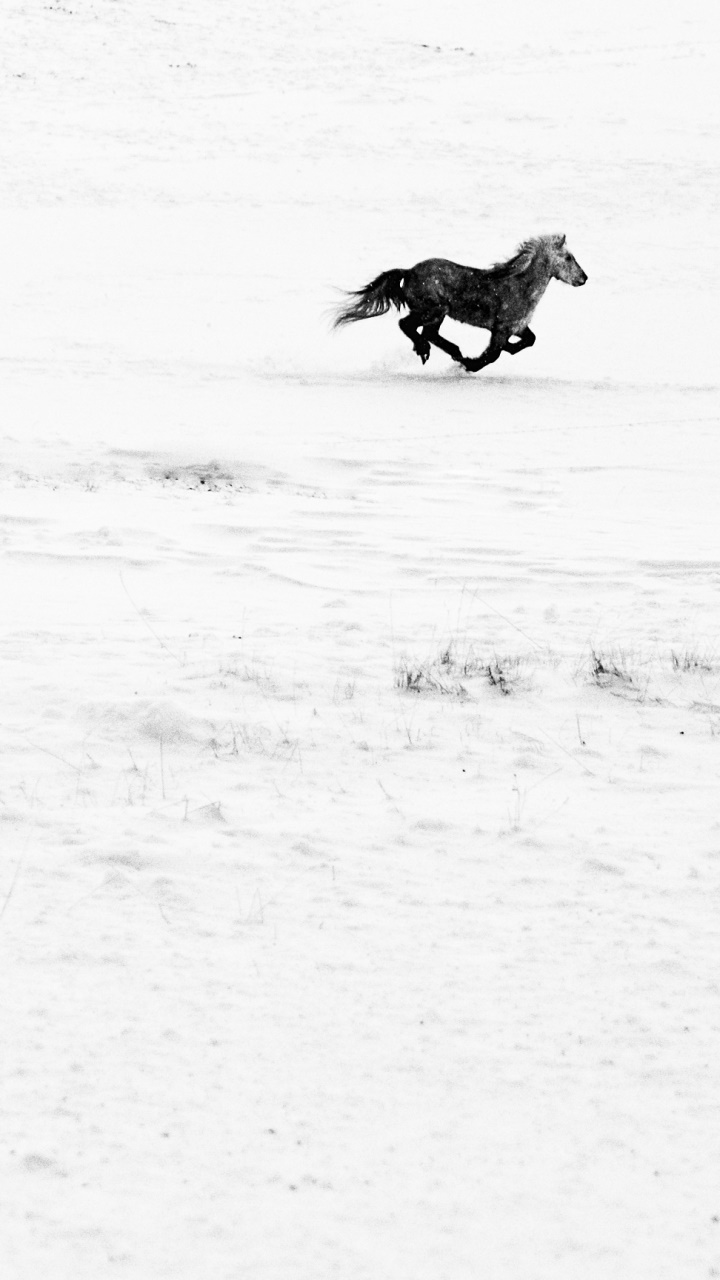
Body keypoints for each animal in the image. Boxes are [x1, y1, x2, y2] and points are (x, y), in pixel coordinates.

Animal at [333, 234, 587, 372]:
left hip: (437, 314)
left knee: (429, 333)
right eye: (568, 257)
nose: (584, 278)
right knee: (408, 325)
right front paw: (469, 364)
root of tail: (409, 271)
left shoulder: (517, 327)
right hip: (433, 310)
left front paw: (493, 353)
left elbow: (529, 341)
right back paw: (428, 351)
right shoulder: (501, 328)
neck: (519, 286)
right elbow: (492, 355)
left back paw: (445, 351)